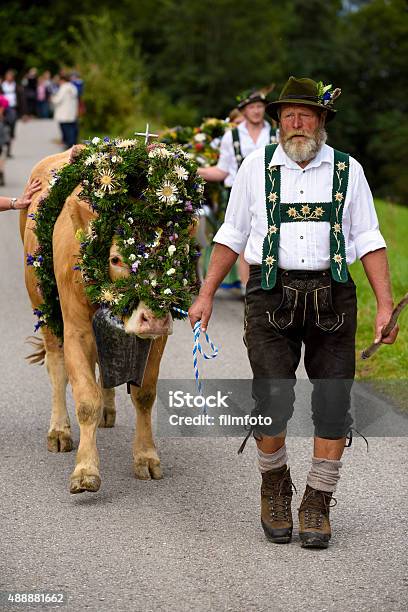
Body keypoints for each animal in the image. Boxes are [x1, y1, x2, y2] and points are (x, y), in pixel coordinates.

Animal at [20, 151, 172, 494]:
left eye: (171, 254)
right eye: (116, 259)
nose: (154, 317)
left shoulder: (158, 338)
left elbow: (144, 394)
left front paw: (146, 457)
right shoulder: (76, 328)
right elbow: (85, 399)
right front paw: (85, 470)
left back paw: (108, 410)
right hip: (43, 307)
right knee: (56, 365)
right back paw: (59, 430)